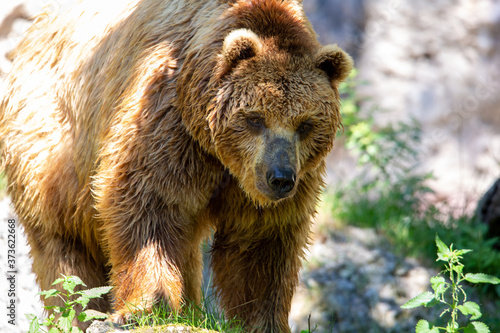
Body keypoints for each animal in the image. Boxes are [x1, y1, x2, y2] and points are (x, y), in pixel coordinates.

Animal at [0, 0, 352, 330]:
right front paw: (146, 307)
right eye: (255, 118)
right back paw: (81, 314)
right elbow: (146, 209)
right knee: (64, 251)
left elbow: (261, 247)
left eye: (305, 124)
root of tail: (32, 33)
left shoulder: (276, 184)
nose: (280, 177)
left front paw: (263, 321)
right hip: (52, 145)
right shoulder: (166, 122)